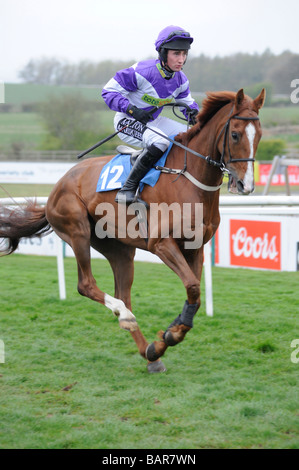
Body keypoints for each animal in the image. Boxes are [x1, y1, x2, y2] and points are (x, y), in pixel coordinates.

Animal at [1, 90, 266, 372]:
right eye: (235, 134)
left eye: (259, 134)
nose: (246, 185)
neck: (187, 178)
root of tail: (57, 185)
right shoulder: (161, 244)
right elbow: (193, 287)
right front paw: (171, 334)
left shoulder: (196, 248)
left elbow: (194, 295)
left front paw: (168, 336)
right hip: (77, 230)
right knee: (87, 285)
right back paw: (125, 317)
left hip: (119, 249)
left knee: (123, 294)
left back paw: (150, 353)